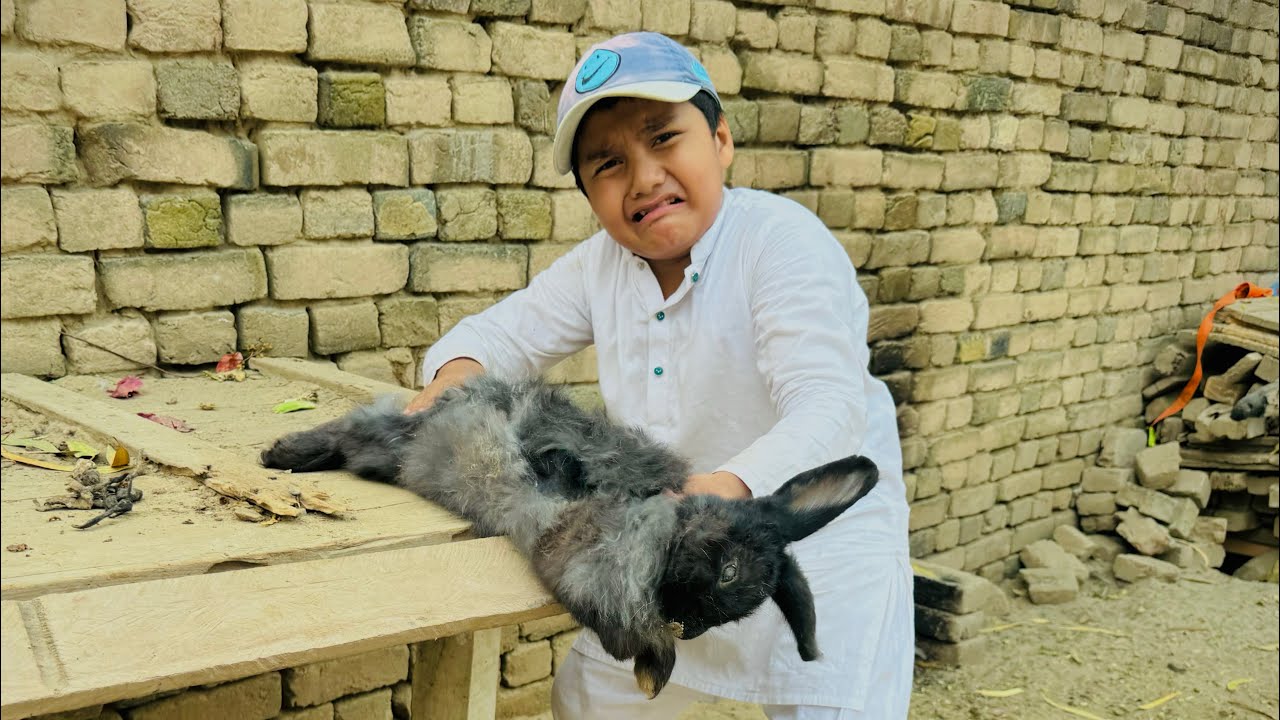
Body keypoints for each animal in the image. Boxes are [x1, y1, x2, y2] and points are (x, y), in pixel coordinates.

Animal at [260, 375, 879, 698]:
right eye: (729, 572)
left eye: (729, 618)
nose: (689, 622)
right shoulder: (594, 559)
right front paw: (655, 671)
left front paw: (652, 674)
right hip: (390, 436)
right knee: (349, 430)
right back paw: (283, 453)